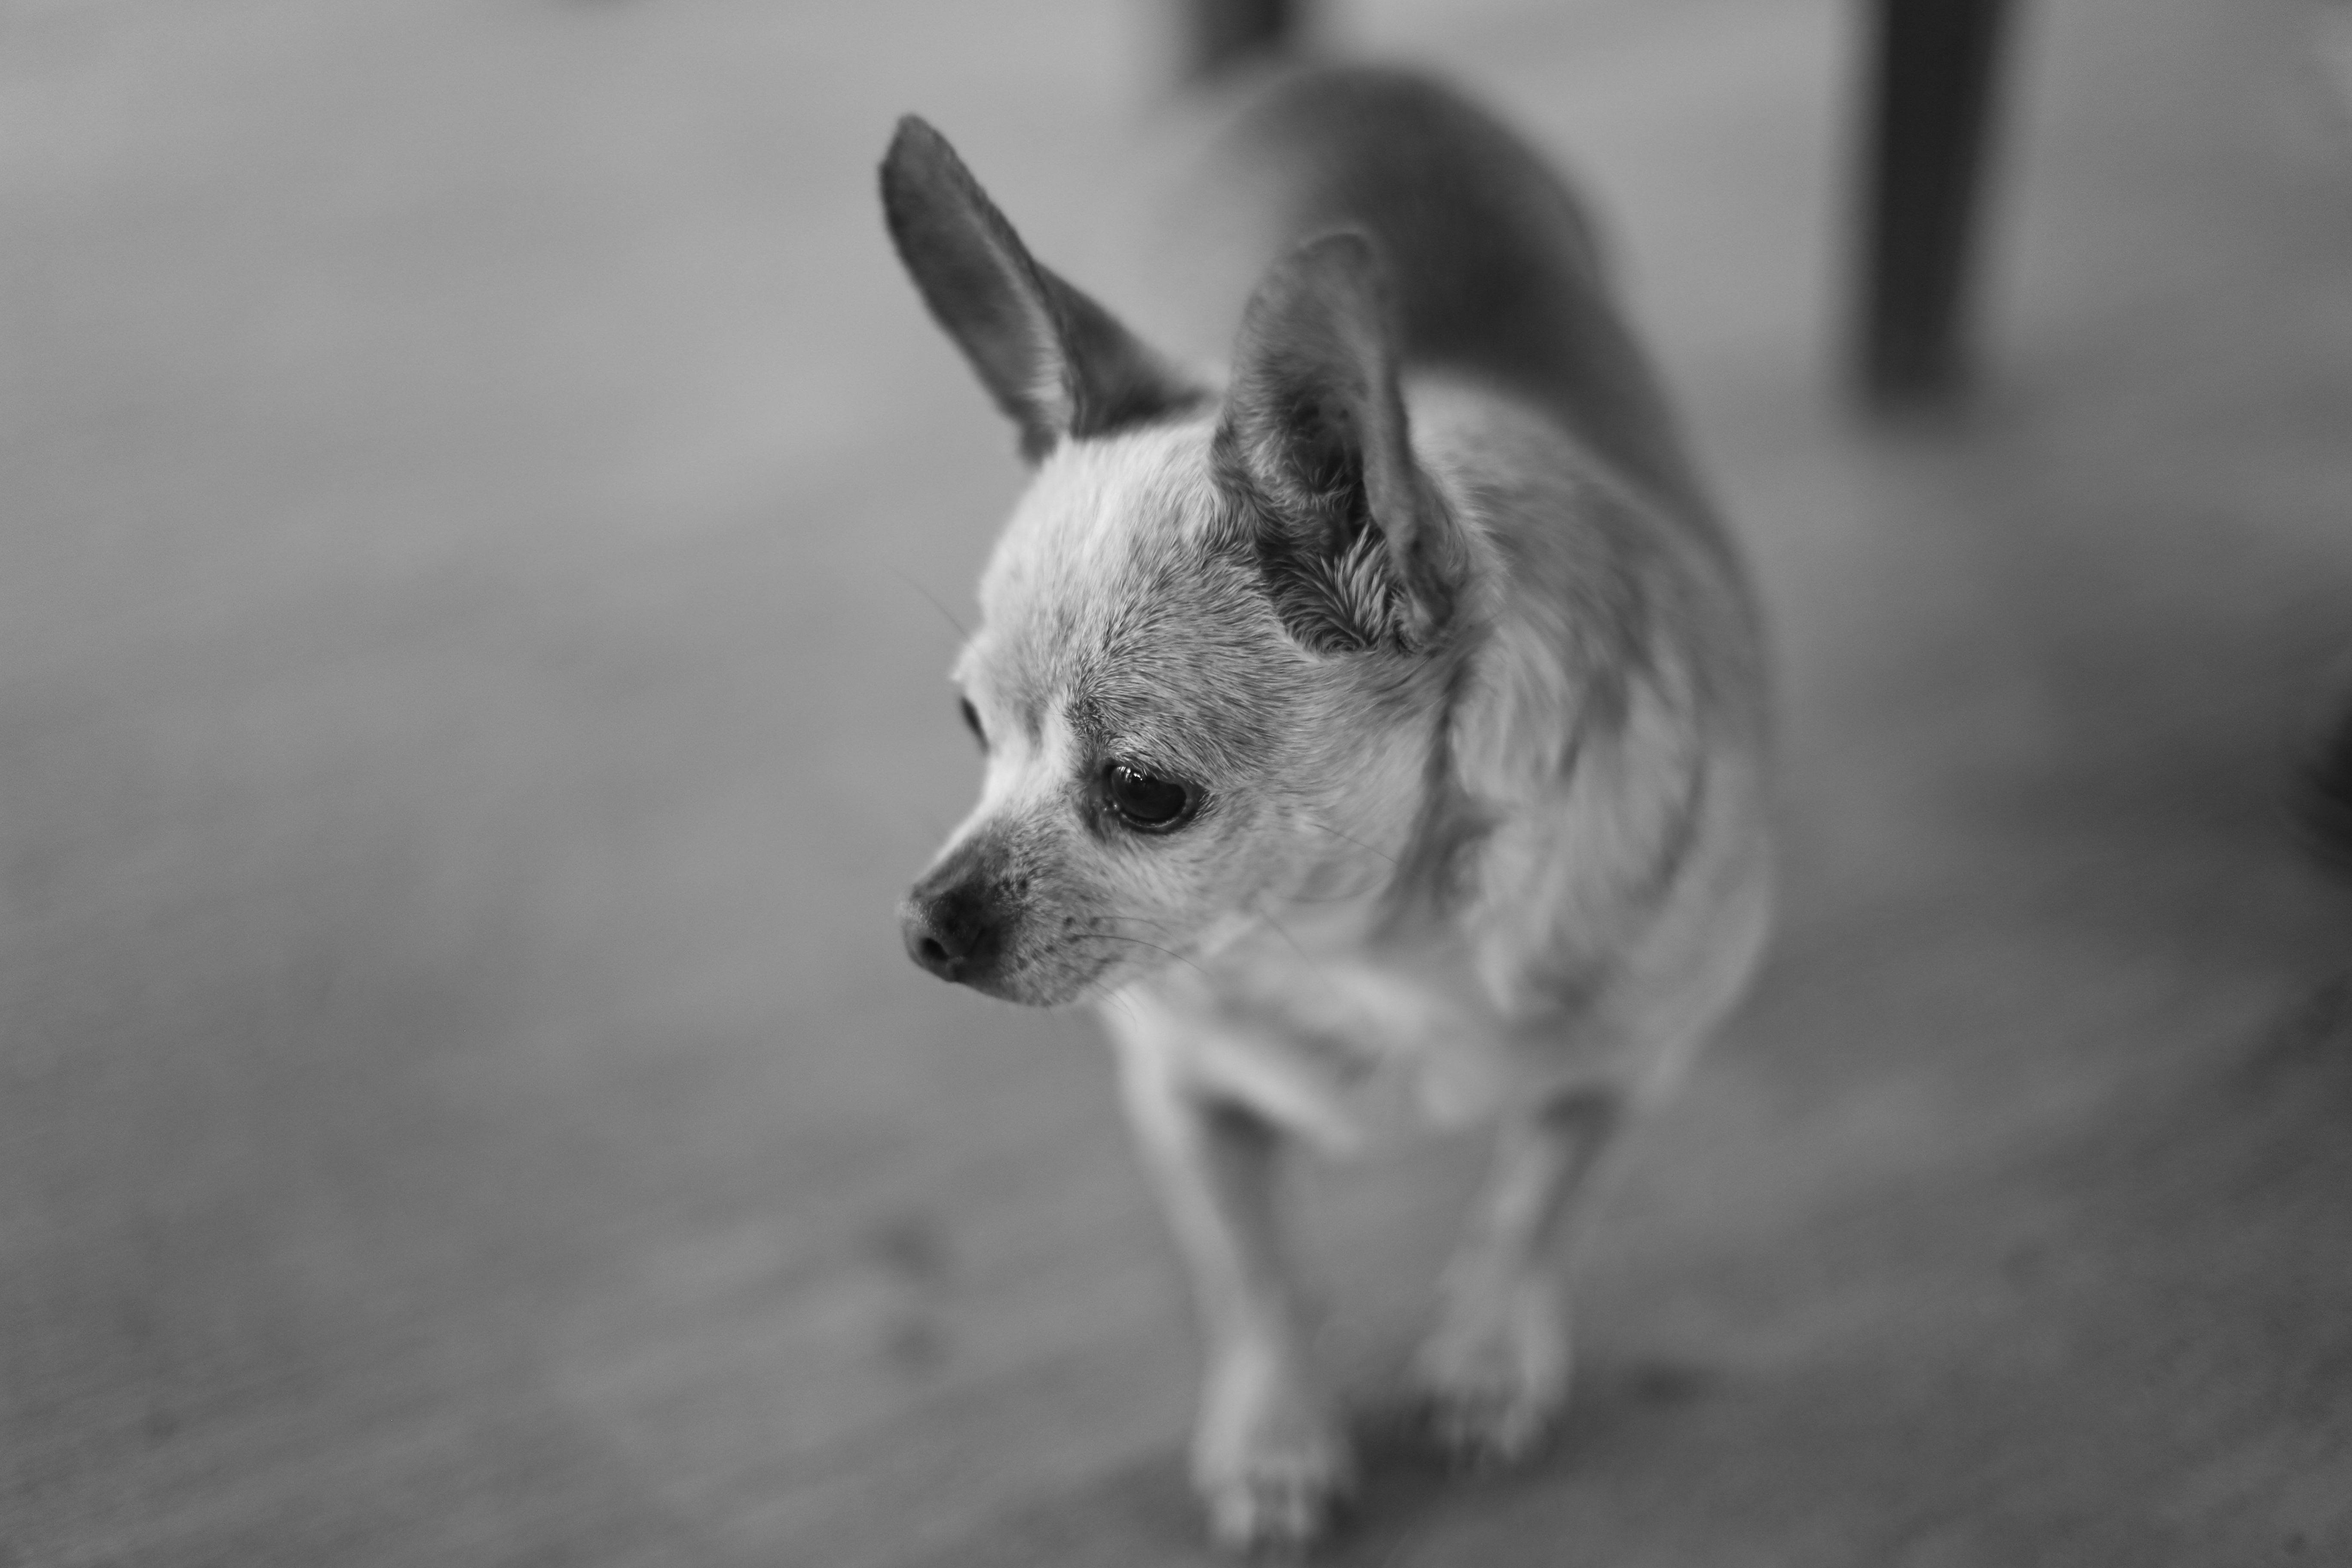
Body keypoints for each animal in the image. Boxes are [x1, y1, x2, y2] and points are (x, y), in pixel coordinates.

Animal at [885, 61, 1773, 1552]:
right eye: (969, 727)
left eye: (1144, 794)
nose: (923, 927)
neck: (1374, 955)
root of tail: (1334, 68)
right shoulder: (1185, 1098)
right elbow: (1254, 1274)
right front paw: (1277, 1439)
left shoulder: (1632, 1065)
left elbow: (1539, 1203)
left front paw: (1487, 1358)